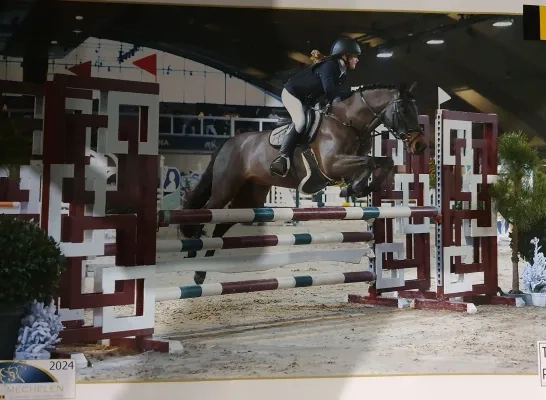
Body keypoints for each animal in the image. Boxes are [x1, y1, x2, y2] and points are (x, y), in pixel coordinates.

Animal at [178, 82, 424, 284]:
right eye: (403, 110)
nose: (420, 145)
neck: (348, 122)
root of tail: (229, 142)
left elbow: (384, 162)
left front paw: (358, 188)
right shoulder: (332, 164)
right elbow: (370, 162)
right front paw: (354, 188)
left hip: (250, 197)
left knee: (221, 226)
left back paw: (201, 271)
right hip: (225, 189)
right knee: (205, 213)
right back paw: (192, 253)